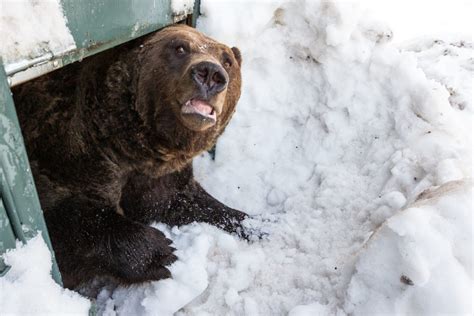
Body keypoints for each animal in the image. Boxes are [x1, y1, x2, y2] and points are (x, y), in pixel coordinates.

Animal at [11, 24, 248, 290]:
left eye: (227, 60)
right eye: (180, 47)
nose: (210, 73)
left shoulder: (159, 174)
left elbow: (186, 201)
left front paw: (253, 222)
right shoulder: (65, 154)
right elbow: (58, 224)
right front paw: (161, 251)